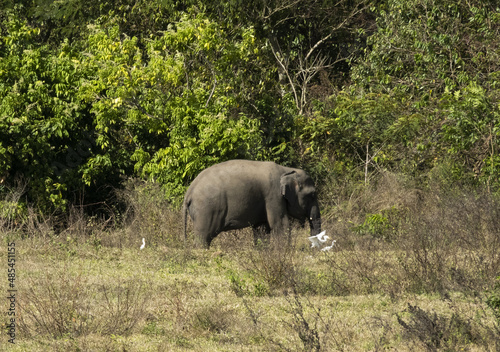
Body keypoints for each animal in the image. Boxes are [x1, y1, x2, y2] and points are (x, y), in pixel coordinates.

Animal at [183, 160, 320, 248]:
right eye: (312, 195)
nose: (311, 250)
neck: (287, 169)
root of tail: (189, 192)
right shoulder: (273, 196)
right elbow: (280, 224)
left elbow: (261, 228)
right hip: (206, 211)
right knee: (203, 237)